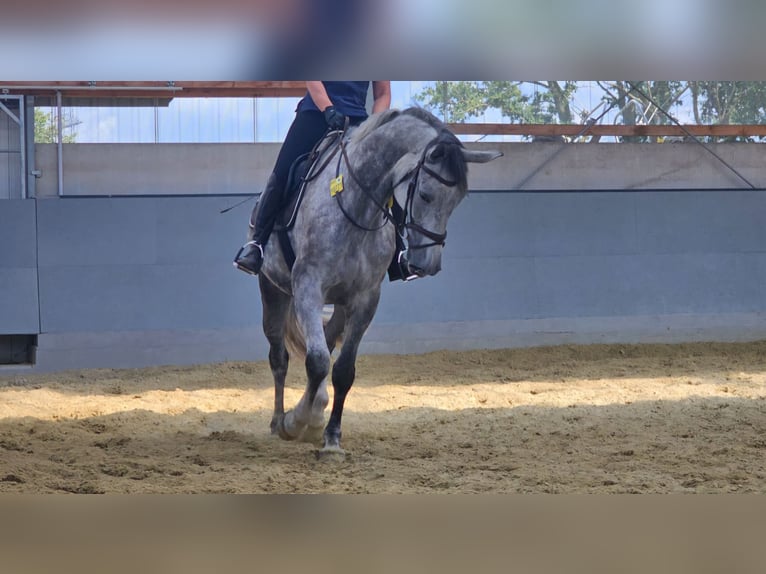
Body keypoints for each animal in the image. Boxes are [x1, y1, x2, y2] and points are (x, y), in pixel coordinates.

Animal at [255, 108, 500, 456]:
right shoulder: (307, 288)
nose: (428, 264)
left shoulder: (366, 299)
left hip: (339, 305)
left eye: (458, 201)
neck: (355, 209)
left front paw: (330, 437)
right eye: (425, 194)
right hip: (273, 290)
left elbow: (343, 370)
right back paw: (279, 421)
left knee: (326, 343)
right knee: (280, 357)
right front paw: (295, 422)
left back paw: (316, 410)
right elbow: (317, 362)